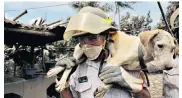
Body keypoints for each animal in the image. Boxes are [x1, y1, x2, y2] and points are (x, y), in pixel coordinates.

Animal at [47, 29, 178, 97]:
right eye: (160, 46)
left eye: (173, 49)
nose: (170, 67)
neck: (141, 51)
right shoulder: (113, 61)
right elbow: (107, 80)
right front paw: (103, 89)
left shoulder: (128, 71)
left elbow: (113, 80)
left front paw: (104, 89)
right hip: (79, 52)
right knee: (69, 66)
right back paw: (58, 77)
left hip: (81, 58)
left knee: (72, 64)